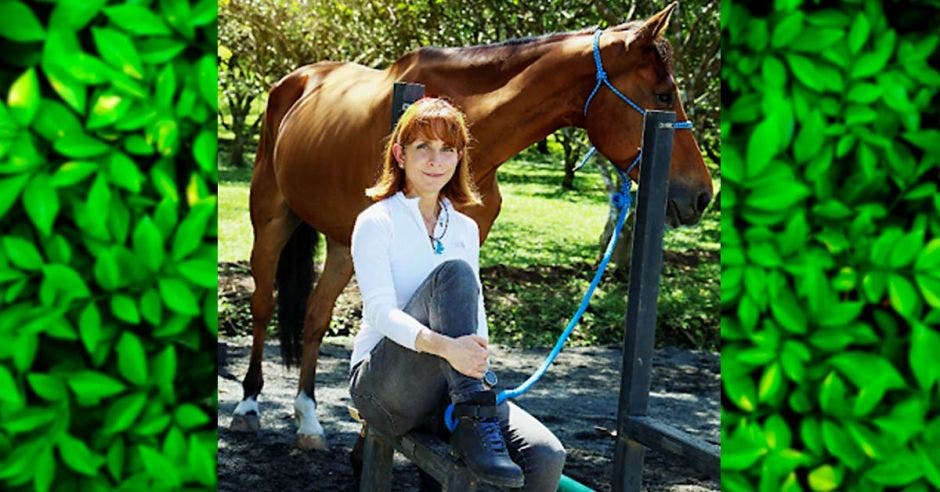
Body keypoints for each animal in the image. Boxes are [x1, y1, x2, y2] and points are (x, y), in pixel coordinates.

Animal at [233, 3, 712, 450]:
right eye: (664, 95)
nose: (703, 195)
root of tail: (296, 81)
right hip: (272, 220)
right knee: (263, 304)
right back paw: (249, 404)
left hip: (339, 243)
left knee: (315, 317)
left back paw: (308, 419)